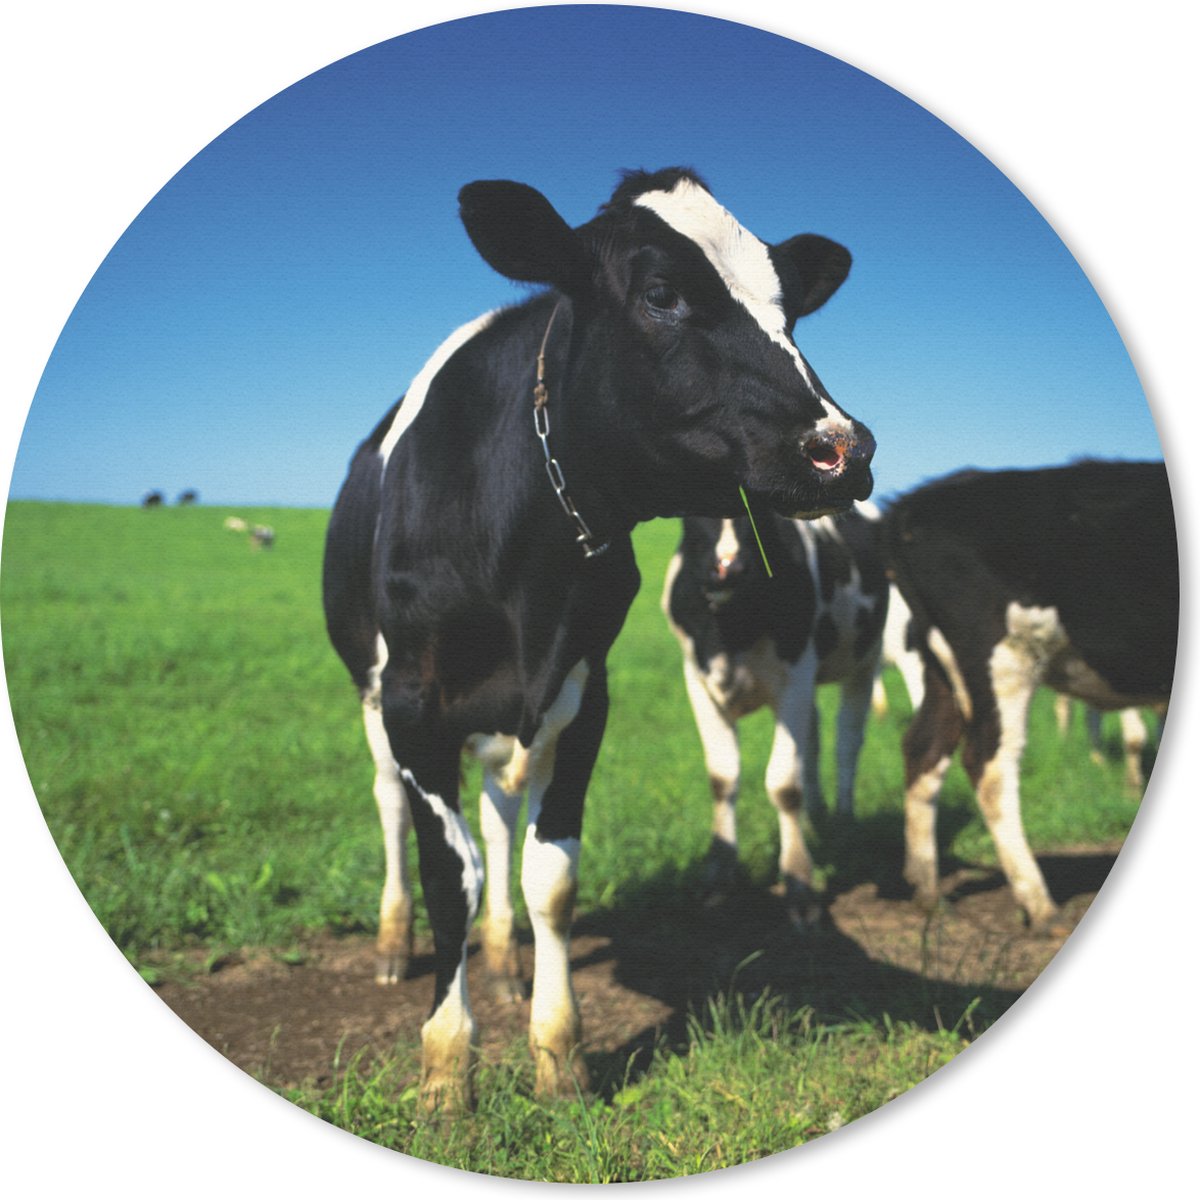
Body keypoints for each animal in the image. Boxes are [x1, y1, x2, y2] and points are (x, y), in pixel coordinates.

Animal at [662, 504, 888, 928]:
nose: (728, 568)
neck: (731, 629)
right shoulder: (696, 679)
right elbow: (722, 778)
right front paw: (718, 877)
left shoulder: (796, 675)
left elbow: (784, 784)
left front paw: (800, 886)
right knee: (813, 739)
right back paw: (817, 815)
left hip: (866, 659)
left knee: (848, 741)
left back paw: (844, 818)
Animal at [882, 460, 1177, 932]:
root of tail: (914, 502)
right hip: (1001, 653)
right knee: (989, 764)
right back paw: (1040, 905)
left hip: (941, 666)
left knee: (923, 747)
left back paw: (928, 893)